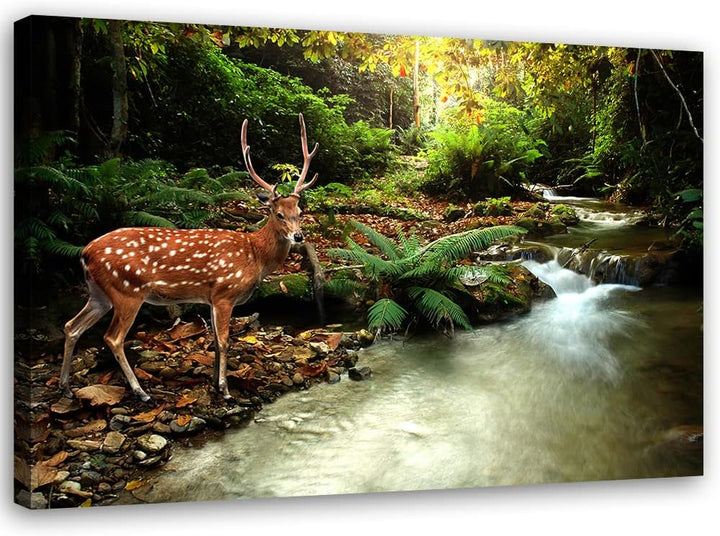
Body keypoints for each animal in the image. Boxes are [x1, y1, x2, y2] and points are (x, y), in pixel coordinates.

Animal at [59, 113, 319, 404]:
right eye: (278, 214)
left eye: (300, 211)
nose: (298, 236)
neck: (254, 255)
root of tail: (85, 253)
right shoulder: (225, 293)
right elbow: (224, 341)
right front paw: (226, 390)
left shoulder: (211, 298)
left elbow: (215, 340)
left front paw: (215, 383)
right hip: (127, 290)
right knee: (112, 337)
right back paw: (141, 392)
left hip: (99, 294)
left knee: (71, 326)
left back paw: (66, 387)